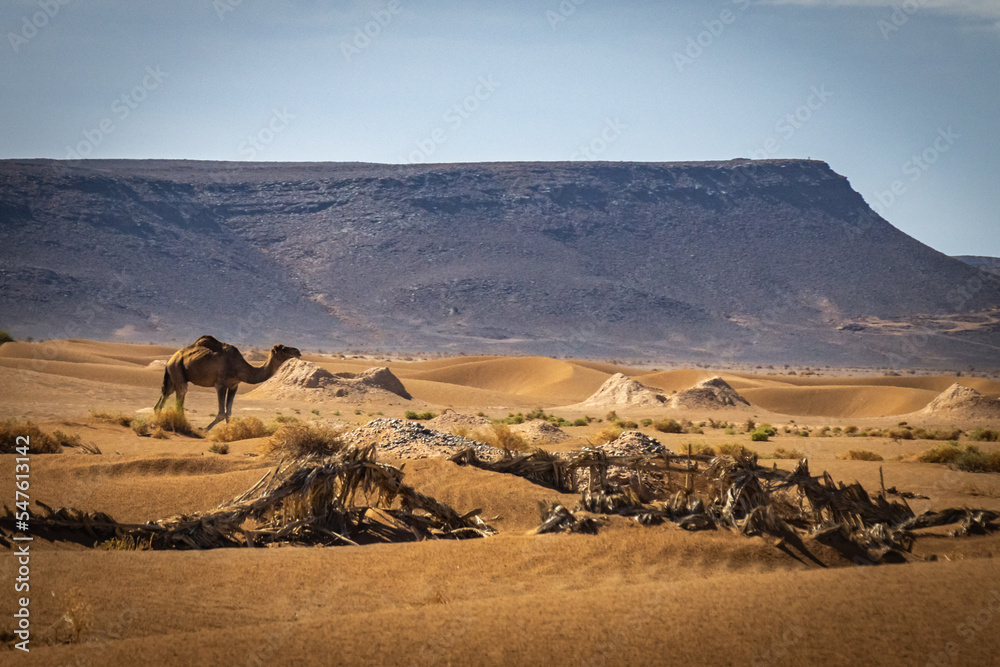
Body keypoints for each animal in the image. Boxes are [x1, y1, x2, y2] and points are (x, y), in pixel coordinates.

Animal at [154, 335, 301, 430]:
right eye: (283, 348)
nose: (298, 351)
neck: (239, 367)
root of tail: (170, 360)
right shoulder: (221, 384)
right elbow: (221, 413)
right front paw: (204, 429)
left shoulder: (234, 385)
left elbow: (228, 412)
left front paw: (230, 431)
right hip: (177, 368)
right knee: (180, 393)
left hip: (173, 375)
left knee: (166, 393)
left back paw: (158, 418)